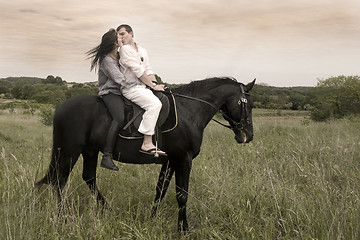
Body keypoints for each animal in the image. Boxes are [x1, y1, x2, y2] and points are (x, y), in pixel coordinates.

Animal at [35, 77, 256, 231]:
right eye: (248, 104)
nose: (248, 136)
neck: (189, 112)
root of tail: (61, 108)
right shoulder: (183, 160)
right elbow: (182, 195)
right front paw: (183, 229)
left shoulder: (170, 162)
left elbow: (160, 191)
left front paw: (152, 219)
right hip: (69, 152)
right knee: (60, 181)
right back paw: (63, 217)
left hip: (89, 151)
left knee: (88, 178)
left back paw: (107, 210)